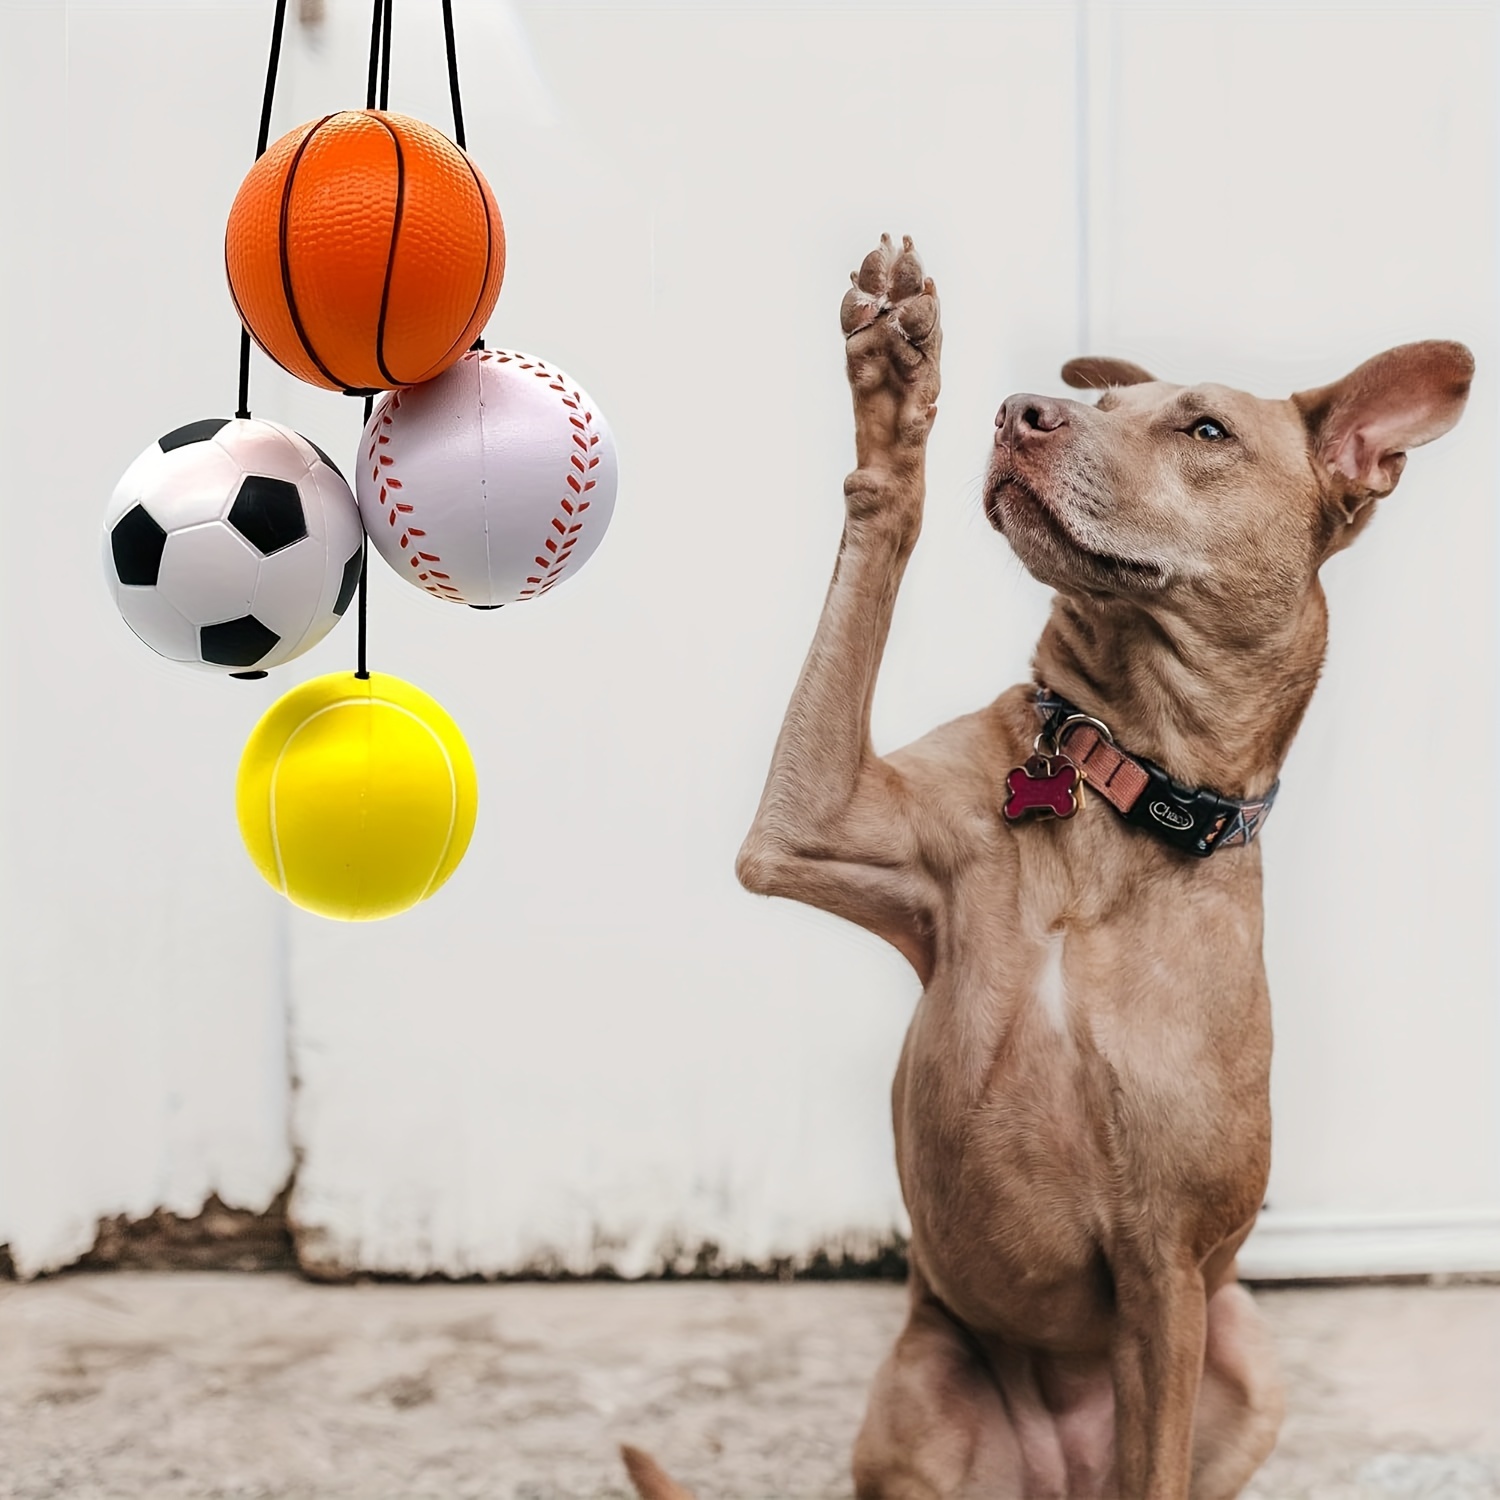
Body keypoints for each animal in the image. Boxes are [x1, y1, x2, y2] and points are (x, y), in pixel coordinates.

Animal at [624, 240, 1476, 1494]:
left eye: (1205, 429)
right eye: (1104, 405)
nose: (1022, 410)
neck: (1113, 786)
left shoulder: (1166, 1271)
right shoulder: (805, 823)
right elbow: (876, 534)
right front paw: (895, 389)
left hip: (1244, 1349)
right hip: (922, 1389)